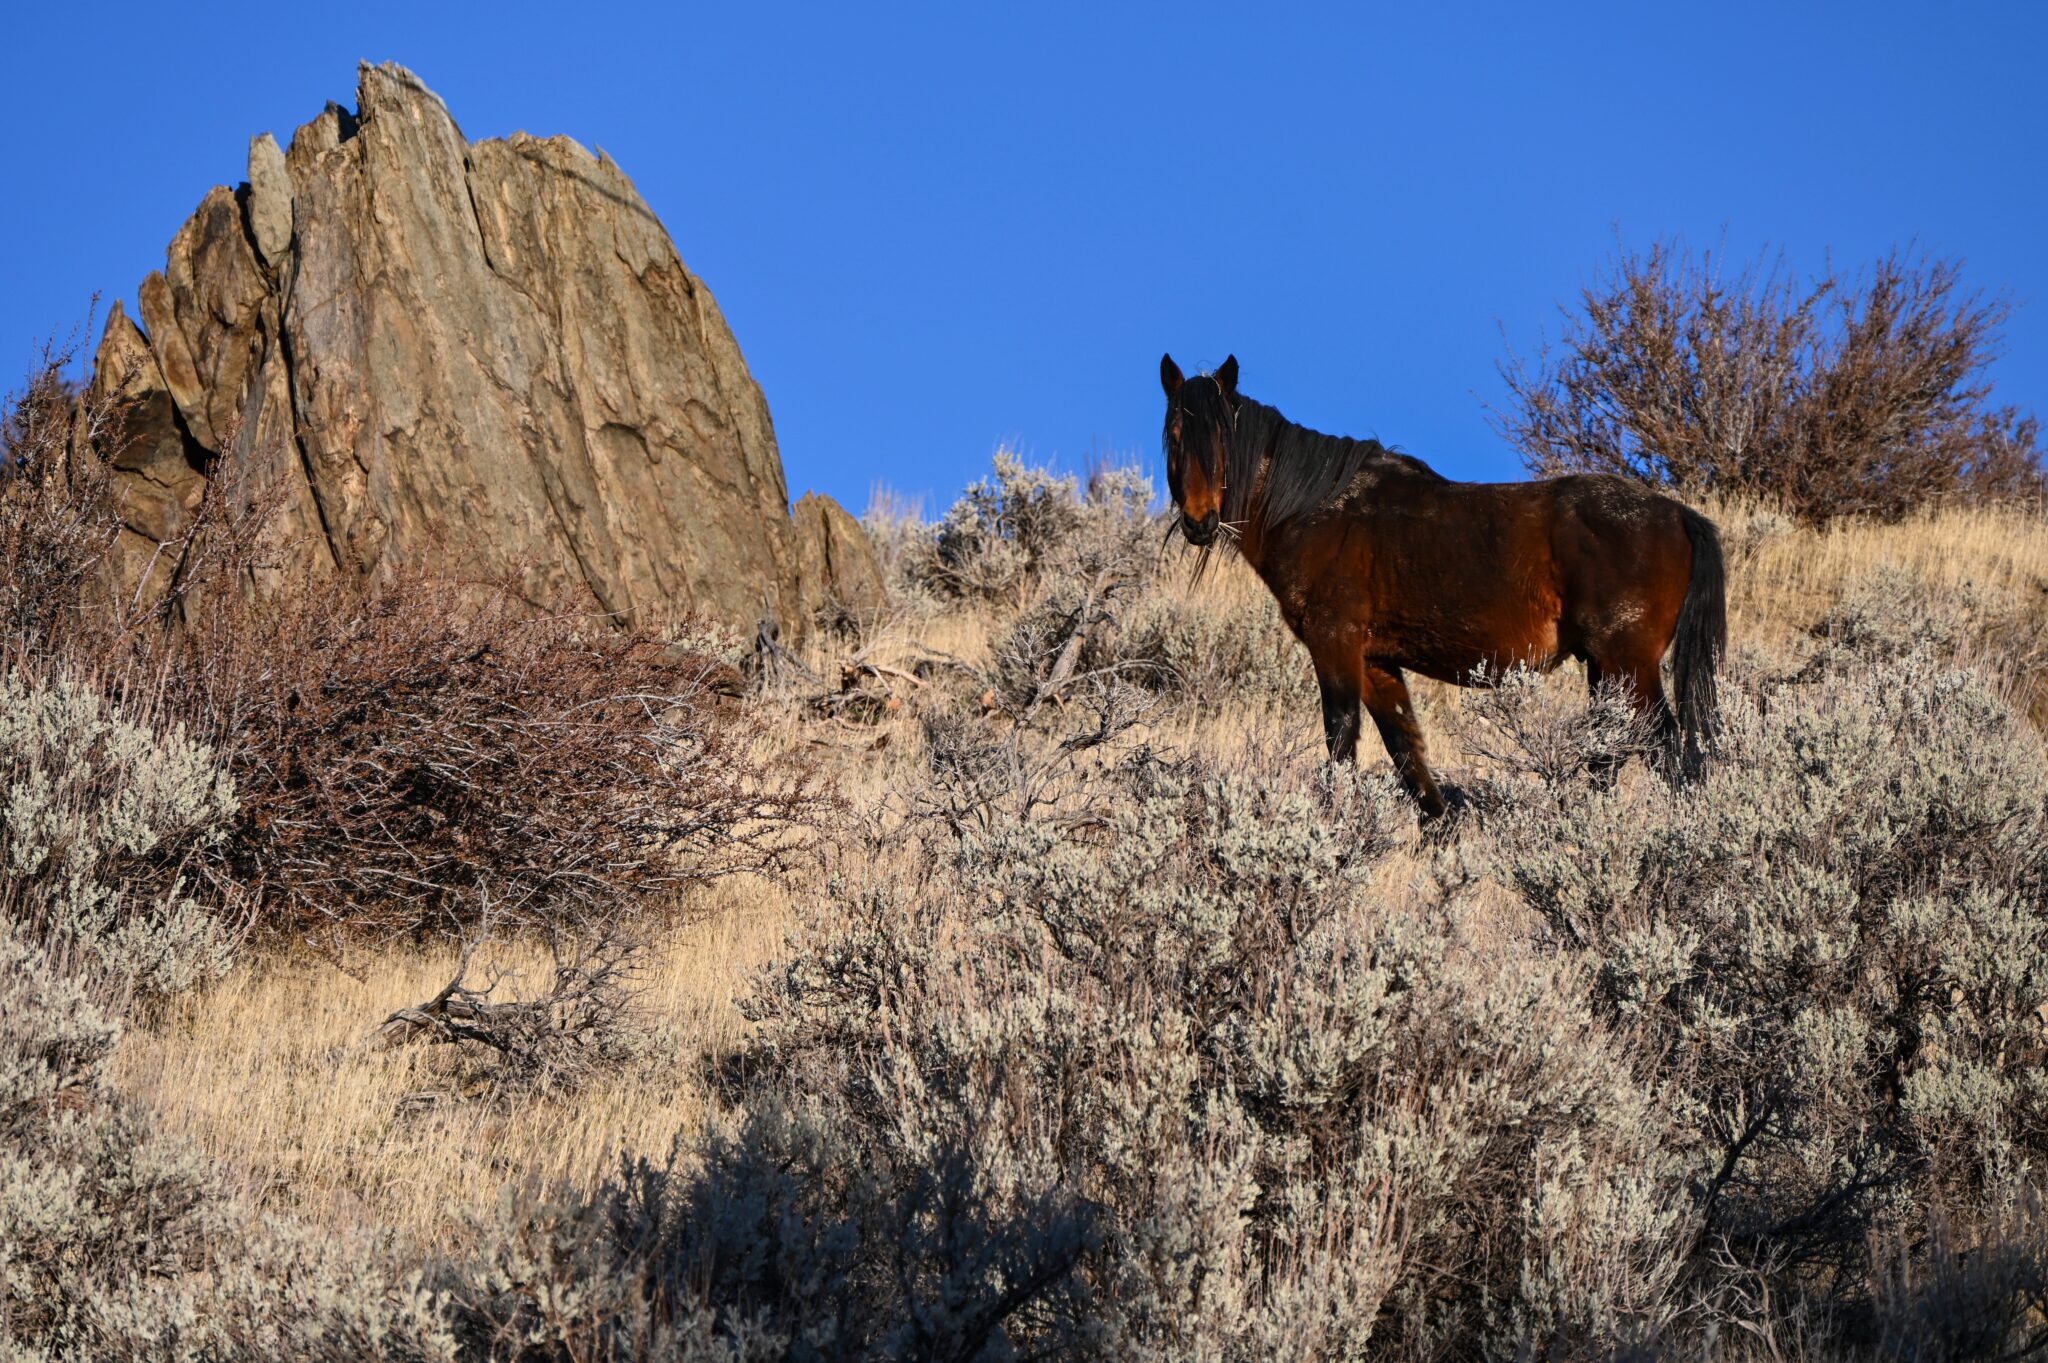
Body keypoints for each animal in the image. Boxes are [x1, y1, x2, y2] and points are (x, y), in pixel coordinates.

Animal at [1163, 352, 1720, 818]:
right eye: (1174, 435)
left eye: (1222, 438)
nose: (1199, 522)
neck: (1315, 511)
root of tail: (1677, 514)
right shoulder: (1376, 662)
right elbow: (1406, 751)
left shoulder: (1334, 645)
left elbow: (1341, 740)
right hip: (1606, 669)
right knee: (1612, 749)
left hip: (1628, 664)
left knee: (1666, 747)